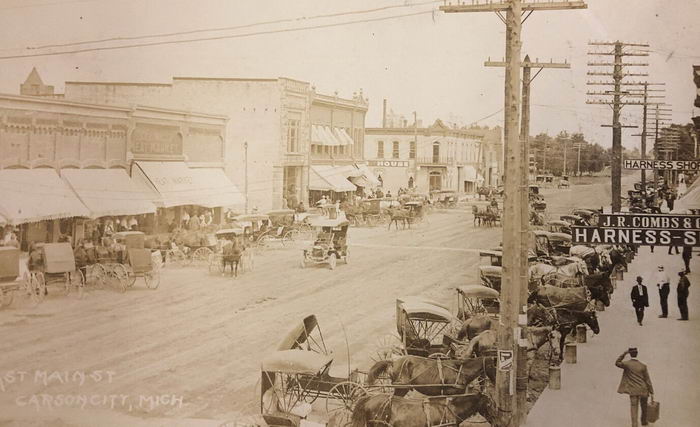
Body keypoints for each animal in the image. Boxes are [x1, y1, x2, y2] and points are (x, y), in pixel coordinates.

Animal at [366, 354, 498, 398]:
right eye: (493, 366)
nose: (495, 381)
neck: (459, 371)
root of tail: (393, 362)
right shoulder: (451, 394)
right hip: (401, 388)